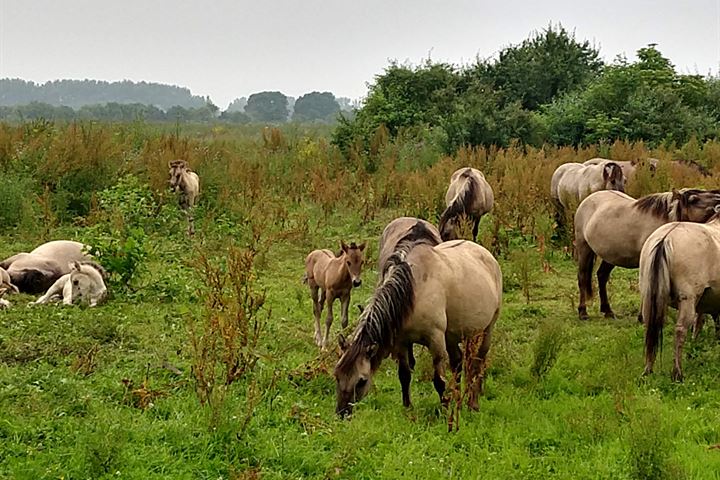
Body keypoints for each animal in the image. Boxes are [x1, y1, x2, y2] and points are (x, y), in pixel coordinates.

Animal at [334, 223, 498, 418]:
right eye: (337, 375)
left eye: (361, 381)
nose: (342, 412)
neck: (413, 291)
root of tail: (485, 254)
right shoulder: (402, 343)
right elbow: (404, 376)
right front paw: (408, 408)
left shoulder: (436, 341)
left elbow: (439, 381)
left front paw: (445, 411)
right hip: (452, 335)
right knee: (458, 364)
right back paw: (458, 401)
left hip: (485, 331)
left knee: (476, 364)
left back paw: (473, 404)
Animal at [576, 189, 720, 320]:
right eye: (693, 200)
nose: (718, 199)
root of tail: (589, 198)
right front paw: (642, 316)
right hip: (584, 248)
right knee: (582, 276)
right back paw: (583, 312)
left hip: (611, 256)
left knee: (602, 276)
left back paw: (607, 311)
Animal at [640, 208, 720, 380]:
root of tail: (665, 239)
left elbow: (701, 323)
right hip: (687, 299)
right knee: (680, 330)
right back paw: (677, 373)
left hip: (650, 296)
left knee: (650, 326)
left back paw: (648, 370)